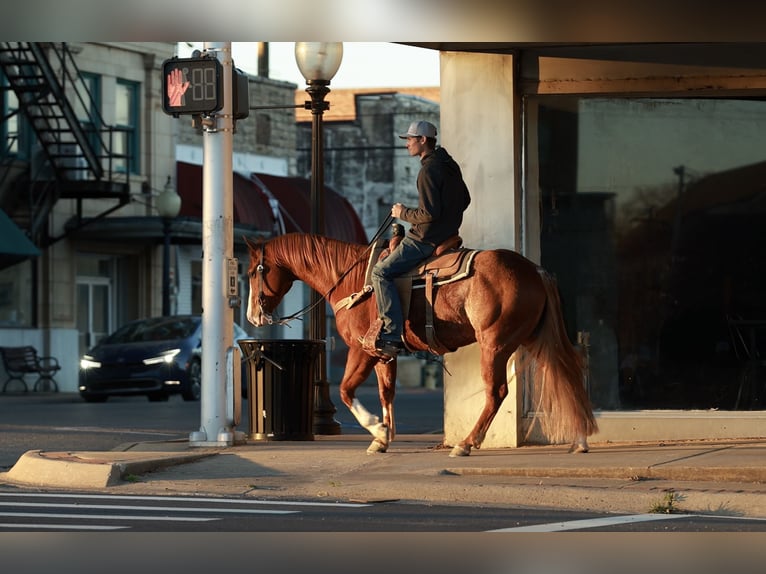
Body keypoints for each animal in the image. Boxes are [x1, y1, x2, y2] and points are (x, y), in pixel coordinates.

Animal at [245, 232, 597, 457]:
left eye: (252, 271)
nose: (252, 316)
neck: (352, 280)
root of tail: (534, 270)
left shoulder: (362, 349)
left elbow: (346, 391)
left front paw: (377, 429)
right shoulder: (384, 355)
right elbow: (386, 392)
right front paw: (383, 438)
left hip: (495, 344)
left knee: (497, 392)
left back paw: (467, 443)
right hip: (532, 338)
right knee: (564, 373)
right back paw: (580, 438)